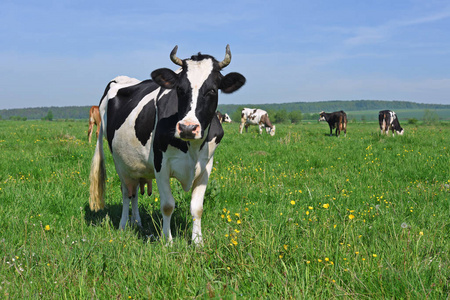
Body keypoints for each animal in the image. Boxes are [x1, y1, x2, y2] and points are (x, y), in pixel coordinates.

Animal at [89, 45, 246, 246]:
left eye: (212, 90)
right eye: (180, 89)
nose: (188, 128)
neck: (192, 147)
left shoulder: (206, 166)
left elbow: (197, 207)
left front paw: (198, 242)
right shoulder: (160, 165)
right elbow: (168, 205)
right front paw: (168, 241)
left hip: (135, 165)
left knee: (135, 193)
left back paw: (137, 222)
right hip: (120, 163)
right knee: (126, 193)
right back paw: (124, 225)